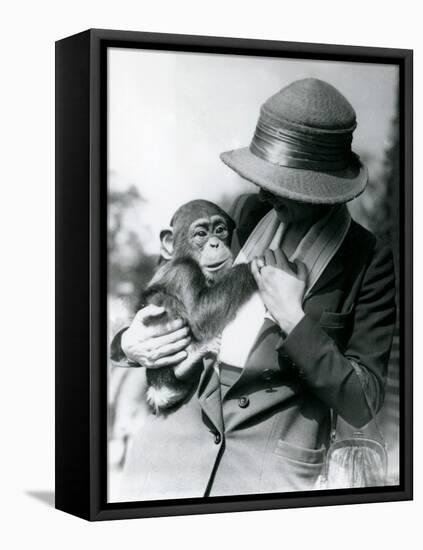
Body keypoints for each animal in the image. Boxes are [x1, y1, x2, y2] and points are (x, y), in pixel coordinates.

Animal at [141, 201, 256, 412]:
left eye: (220, 230)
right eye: (201, 234)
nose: (215, 243)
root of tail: (159, 392)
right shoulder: (184, 273)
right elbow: (200, 316)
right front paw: (251, 267)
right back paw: (188, 363)